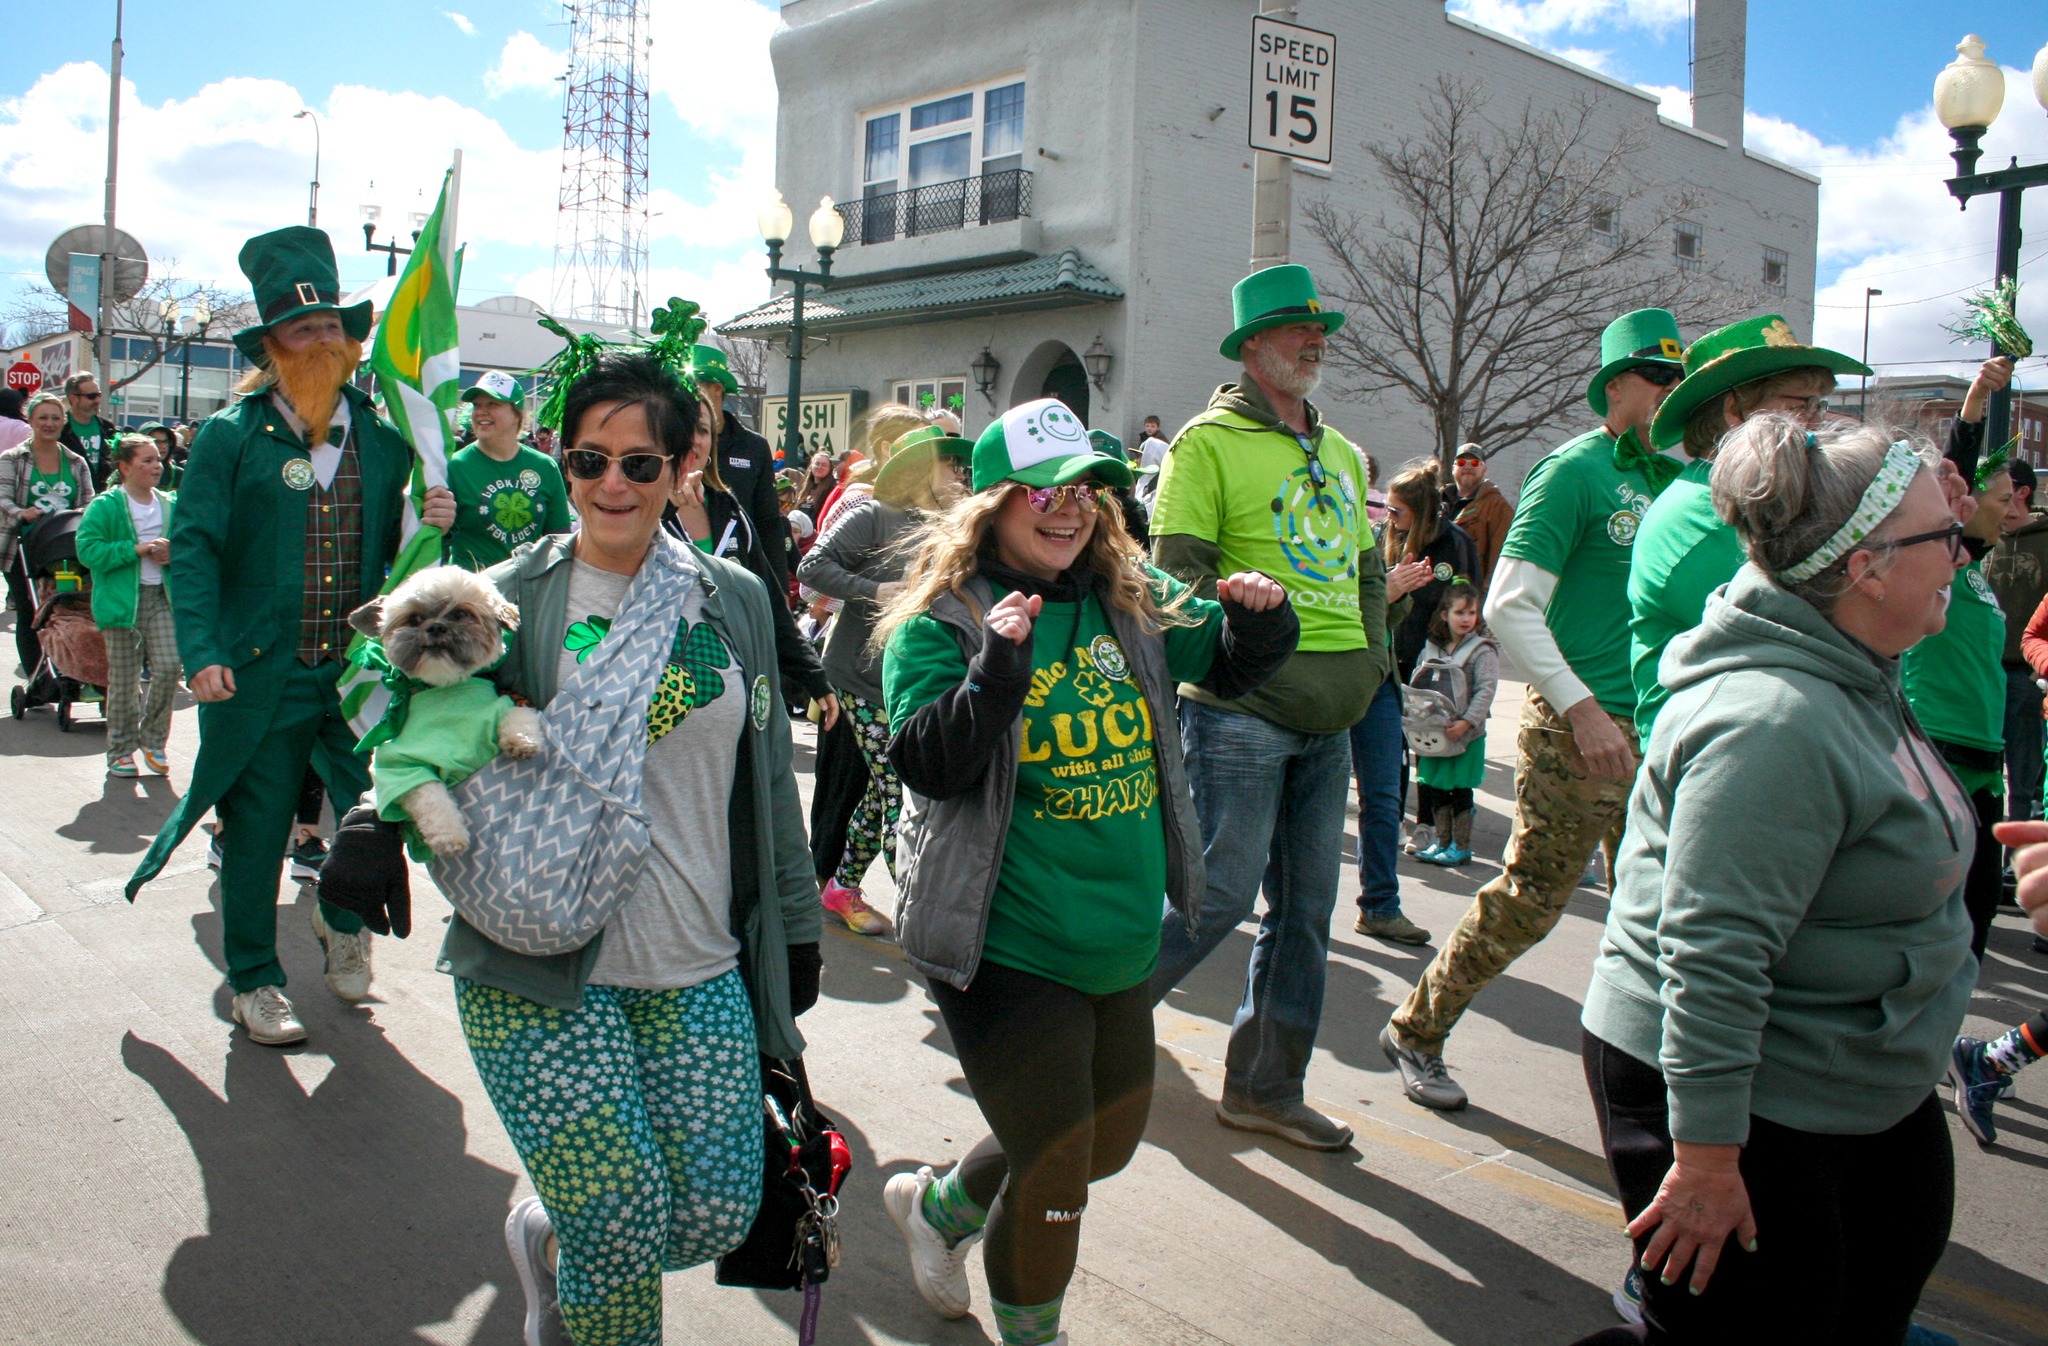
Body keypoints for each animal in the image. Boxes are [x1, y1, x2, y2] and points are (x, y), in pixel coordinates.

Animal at [352, 561, 544, 856]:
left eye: (461, 613)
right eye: (413, 620)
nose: (436, 627)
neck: (445, 687)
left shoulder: (512, 699)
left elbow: (519, 713)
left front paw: (521, 741)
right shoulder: (402, 765)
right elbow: (431, 797)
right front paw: (449, 836)